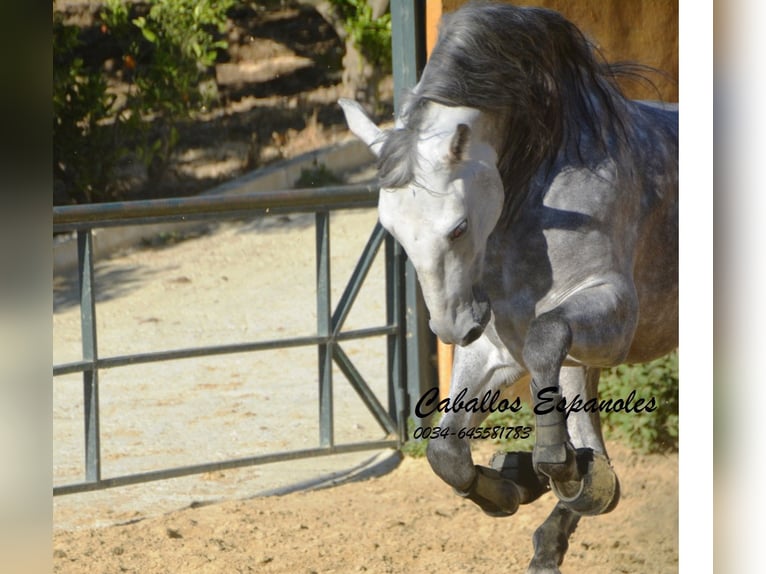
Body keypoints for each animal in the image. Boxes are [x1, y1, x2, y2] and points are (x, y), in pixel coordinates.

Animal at [340, 2, 680, 572]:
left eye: (457, 227)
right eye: (391, 230)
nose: (453, 328)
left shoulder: (611, 315)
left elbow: (548, 344)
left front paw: (553, 467)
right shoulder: (499, 350)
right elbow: (447, 453)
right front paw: (511, 485)